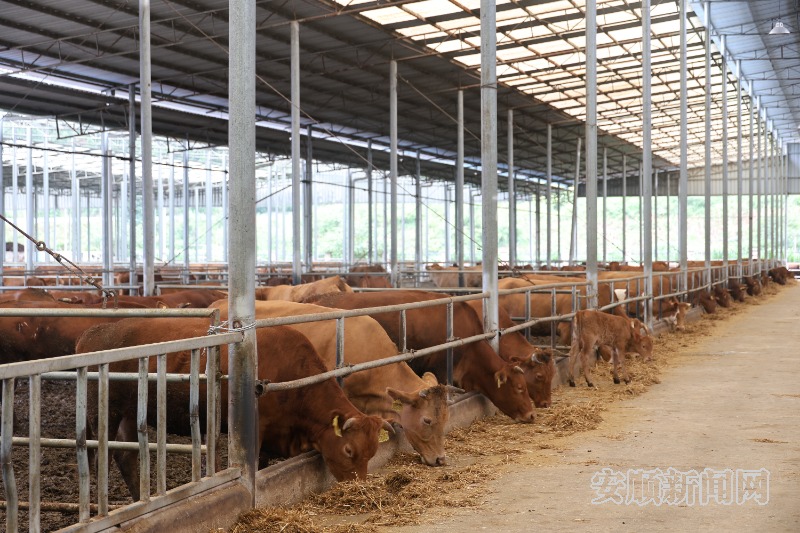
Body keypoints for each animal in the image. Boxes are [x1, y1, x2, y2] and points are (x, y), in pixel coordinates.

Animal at [75, 319, 391, 500]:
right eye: (349, 450)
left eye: (372, 452)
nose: (360, 488)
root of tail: (93, 332)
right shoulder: (257, 430)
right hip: (100, 413)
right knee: (97, 457)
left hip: (129, 414)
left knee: (127, 457)